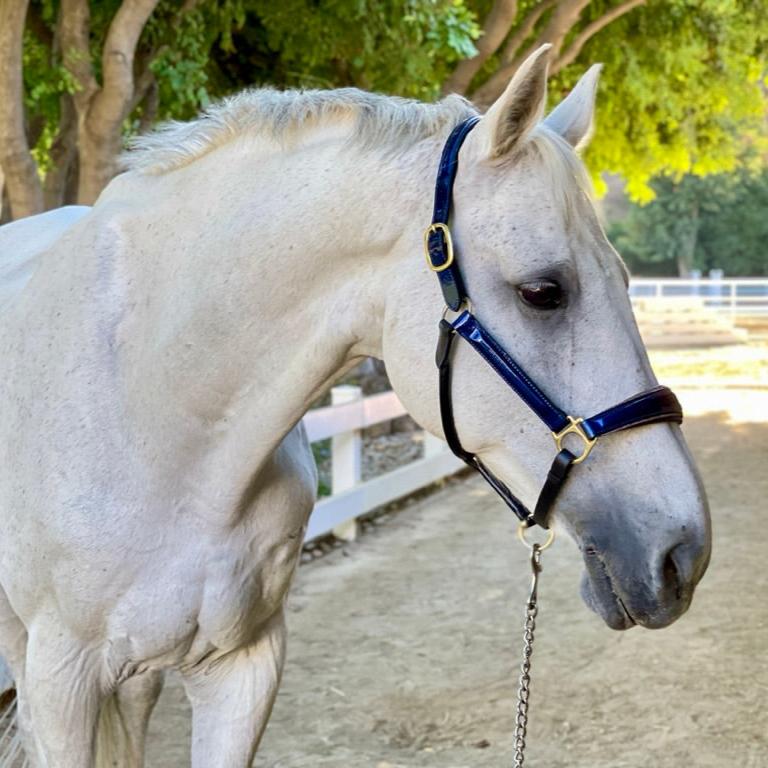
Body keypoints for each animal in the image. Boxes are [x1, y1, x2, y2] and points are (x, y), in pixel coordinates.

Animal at [0, 49, 712, 768]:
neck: (158, 418)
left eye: (625, 278)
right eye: (543, 291)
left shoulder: (243, 666)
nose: (683, 553)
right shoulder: (62, 682)